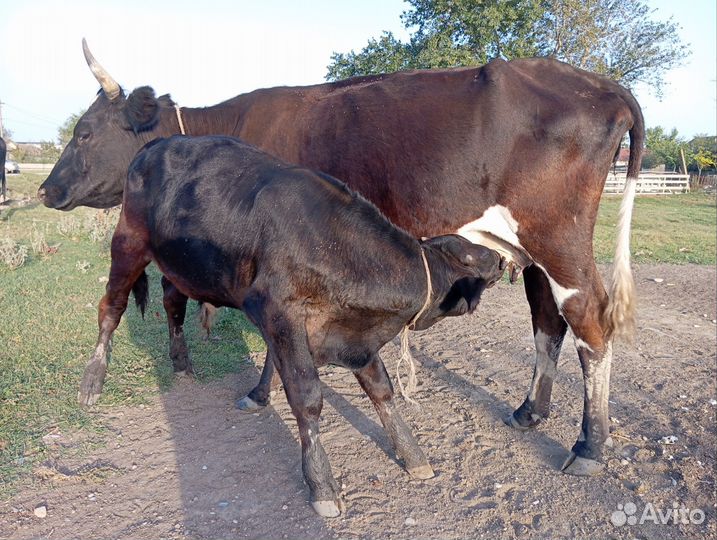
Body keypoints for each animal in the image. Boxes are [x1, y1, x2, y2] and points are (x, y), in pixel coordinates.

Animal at [39, 40, 644, 476]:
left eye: (85, 132)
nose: (46, 189)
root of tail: (603, 85)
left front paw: (259, 394)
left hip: (558, 239)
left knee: (589, 322)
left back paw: (590, 447)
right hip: (533, 249)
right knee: (548, 322)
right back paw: (529, 412)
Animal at [84, 133, 505, 516]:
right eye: (467, 254)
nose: (501, 258)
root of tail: (156, 143)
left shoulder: (352, 334)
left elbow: (381, 390)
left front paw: (412, 452)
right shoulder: (280, 312)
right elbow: (307, 397)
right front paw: (321, 483)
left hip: (180, 263)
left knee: (172, 301)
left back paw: (181, 362)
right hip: (128, 243)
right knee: (112, 307)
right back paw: (93, 382)